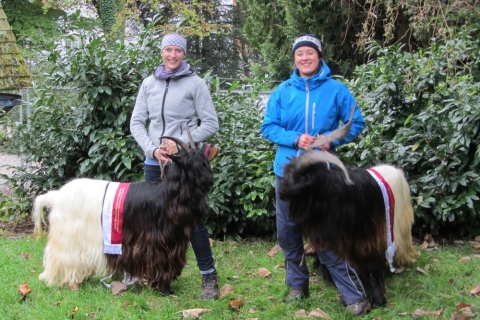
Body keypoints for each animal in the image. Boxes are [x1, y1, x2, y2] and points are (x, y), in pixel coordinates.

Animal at [32, 131, 213, 296]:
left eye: (204, 162)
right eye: (190, 164)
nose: (208, 180)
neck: (167, 197)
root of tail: (57, 196)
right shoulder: (158, 244)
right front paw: (164, 289)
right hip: (68, 237)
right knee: (58, 257)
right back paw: (60, 280)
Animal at [280, 109, 418, 306]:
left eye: (302, 176)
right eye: (287, 171)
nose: (281, 192)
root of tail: (395, 170)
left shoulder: (369, 237)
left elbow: (370, 264)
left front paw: (377, 298)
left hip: (399, 226)